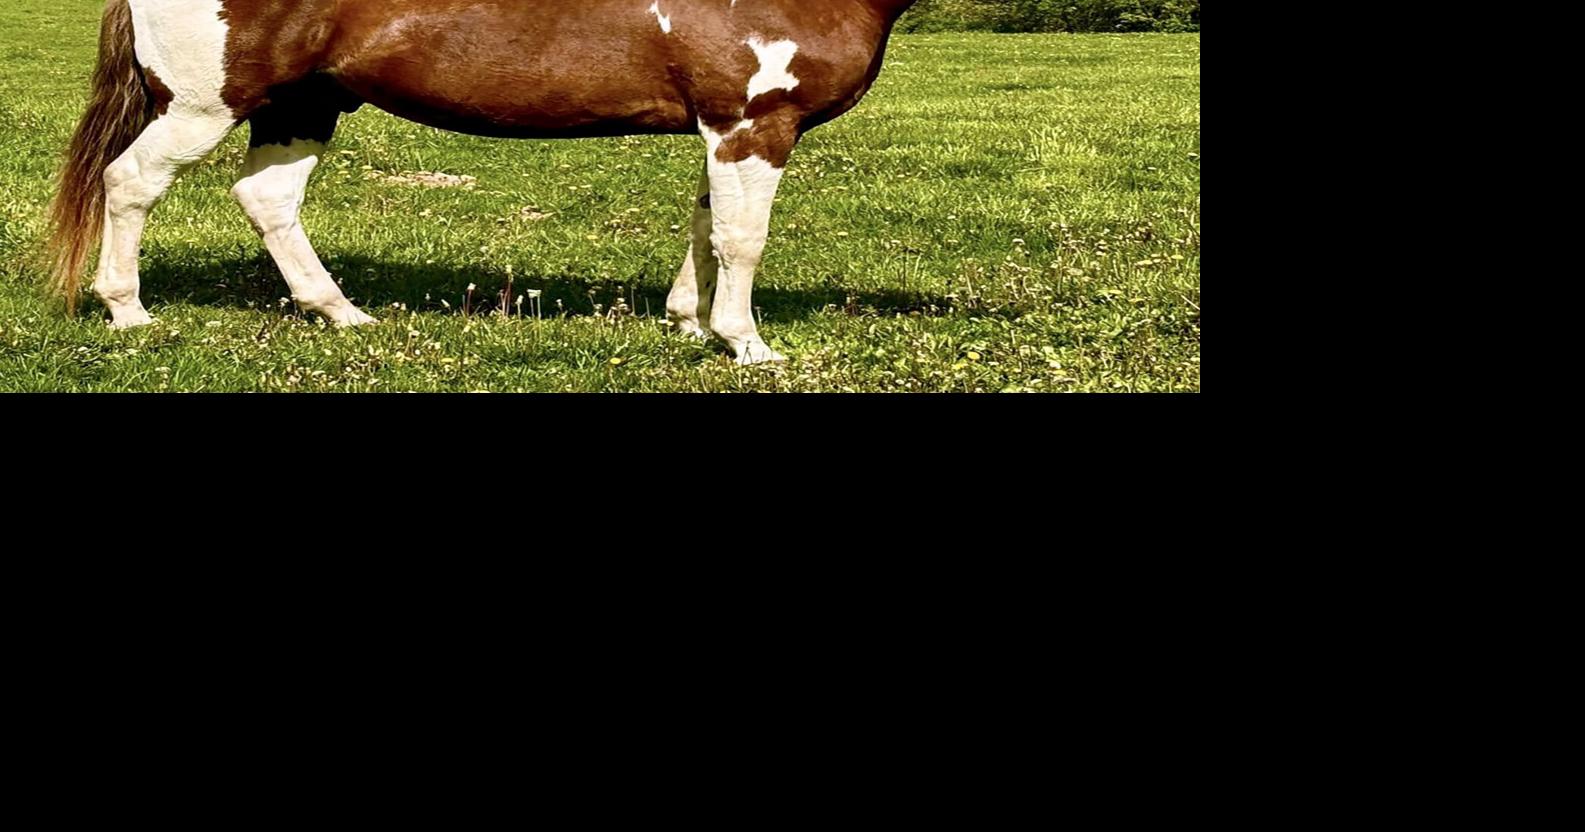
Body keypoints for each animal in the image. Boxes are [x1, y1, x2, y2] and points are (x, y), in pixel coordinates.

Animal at [44, 0, 920, 365]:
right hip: (205, 105)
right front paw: (745, 344)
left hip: (303, 104)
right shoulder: (754, 123)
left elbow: (705, 230)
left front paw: (687, 323)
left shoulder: (724, 129)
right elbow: (742, 239)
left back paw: (344, 316)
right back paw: (129, 313)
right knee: (131, 184)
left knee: (268, 200)